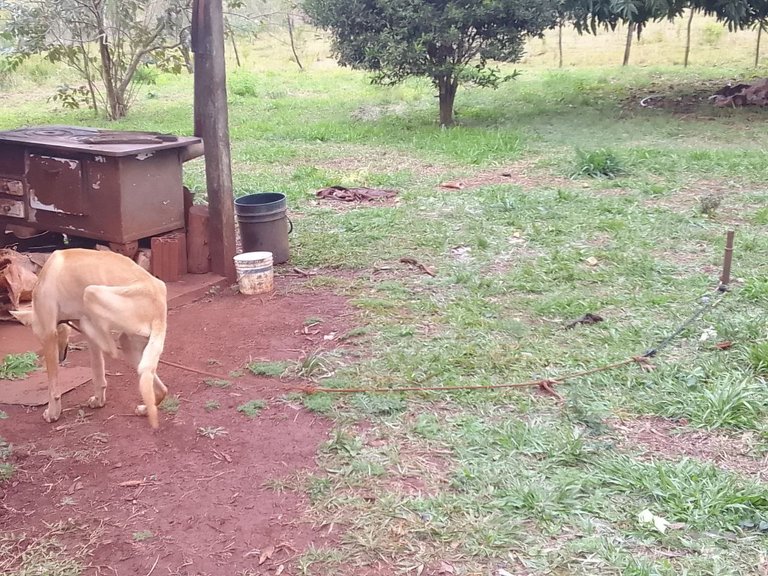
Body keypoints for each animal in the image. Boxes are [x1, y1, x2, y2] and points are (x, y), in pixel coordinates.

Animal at [11, 248, 170, 428]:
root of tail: (158, 302)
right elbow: (98, 373)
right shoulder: (90, 343)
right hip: (131, 344)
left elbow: (53, 388)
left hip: (91, 292)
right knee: (160, 388)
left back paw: (87, 323)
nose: (61, 358)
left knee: (111, 348)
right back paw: (145, 409)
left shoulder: (48, 335)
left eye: (37, 337)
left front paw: (53, 413)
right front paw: (99, 400)